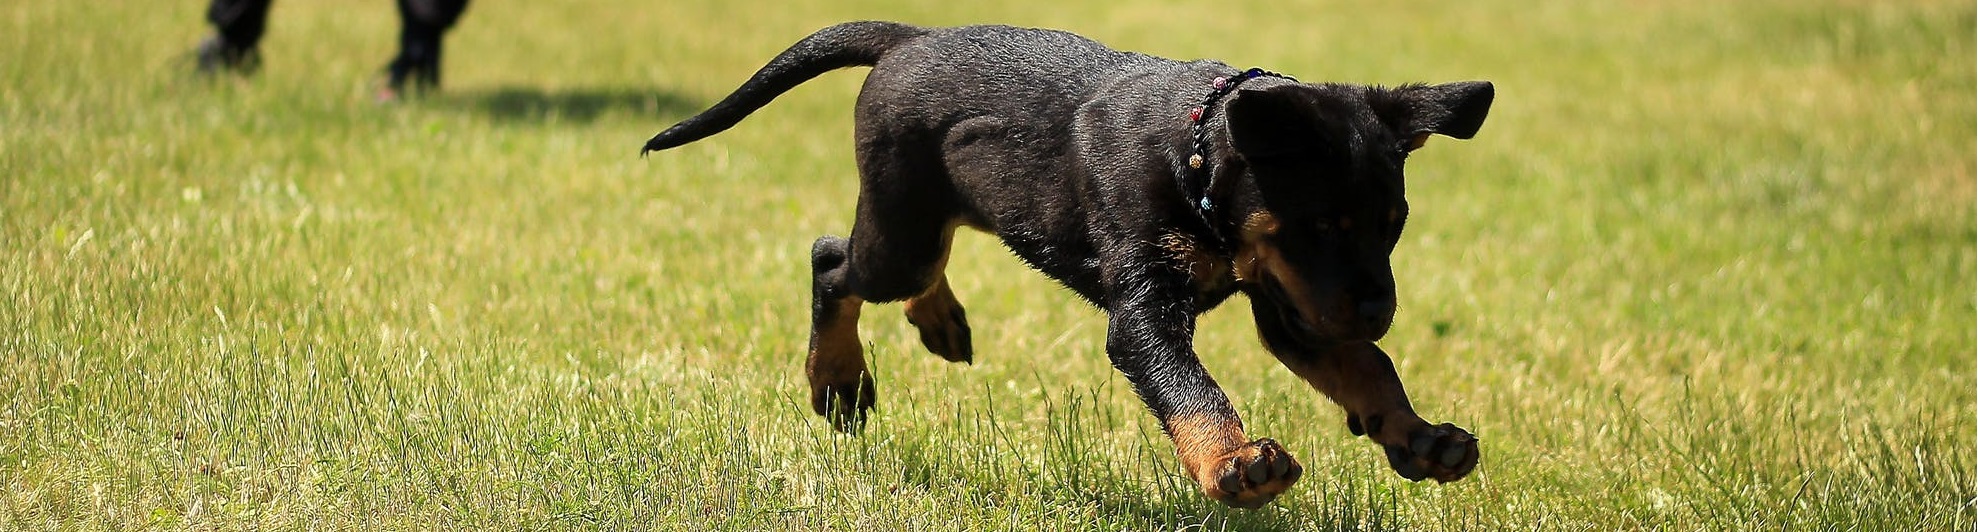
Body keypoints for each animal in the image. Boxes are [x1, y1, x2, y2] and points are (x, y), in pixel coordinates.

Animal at [640, 22, 1487, 506]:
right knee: (832, 263)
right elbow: (1192, 389)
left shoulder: (1295, 303)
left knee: (911, 260)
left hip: (941, 211)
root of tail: (908, 37)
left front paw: (1420, 438)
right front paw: (1235, 464)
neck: (1195, 152)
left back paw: (938, 321)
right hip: (901, 231)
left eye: (1393, 226)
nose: (1381, 310)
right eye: (1319, 225)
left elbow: (1368, 367)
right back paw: (838, 382)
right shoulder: (1149, 310)